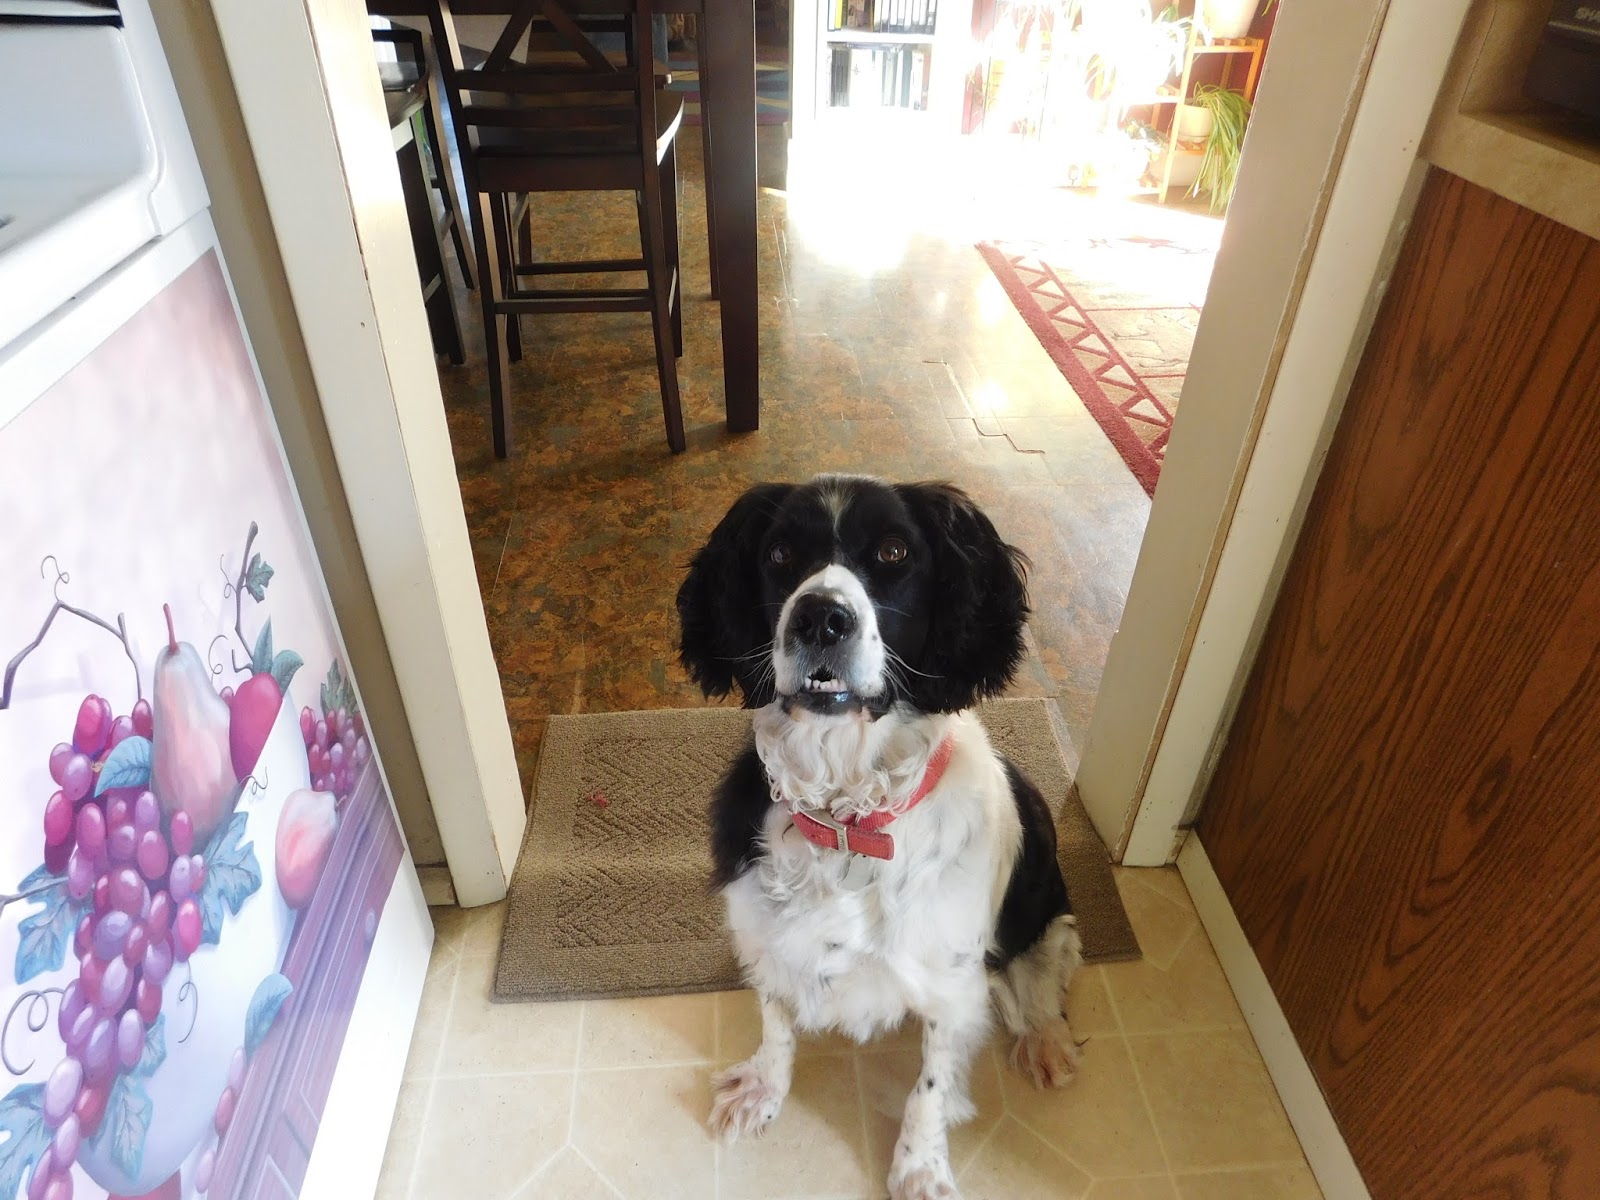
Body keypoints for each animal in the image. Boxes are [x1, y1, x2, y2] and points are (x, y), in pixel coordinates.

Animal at [676, 475, 1082, 1200]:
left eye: (894, 551)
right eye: (779, 553)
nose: (820, 618)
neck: (847, 823)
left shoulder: (950, 985)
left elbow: (929, 1088)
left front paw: (919, 1167)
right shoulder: (767, 936)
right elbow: (776, 1024)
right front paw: (763, 1091)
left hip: (1046, 914)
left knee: (1044, 979)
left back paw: (1046, 1042)